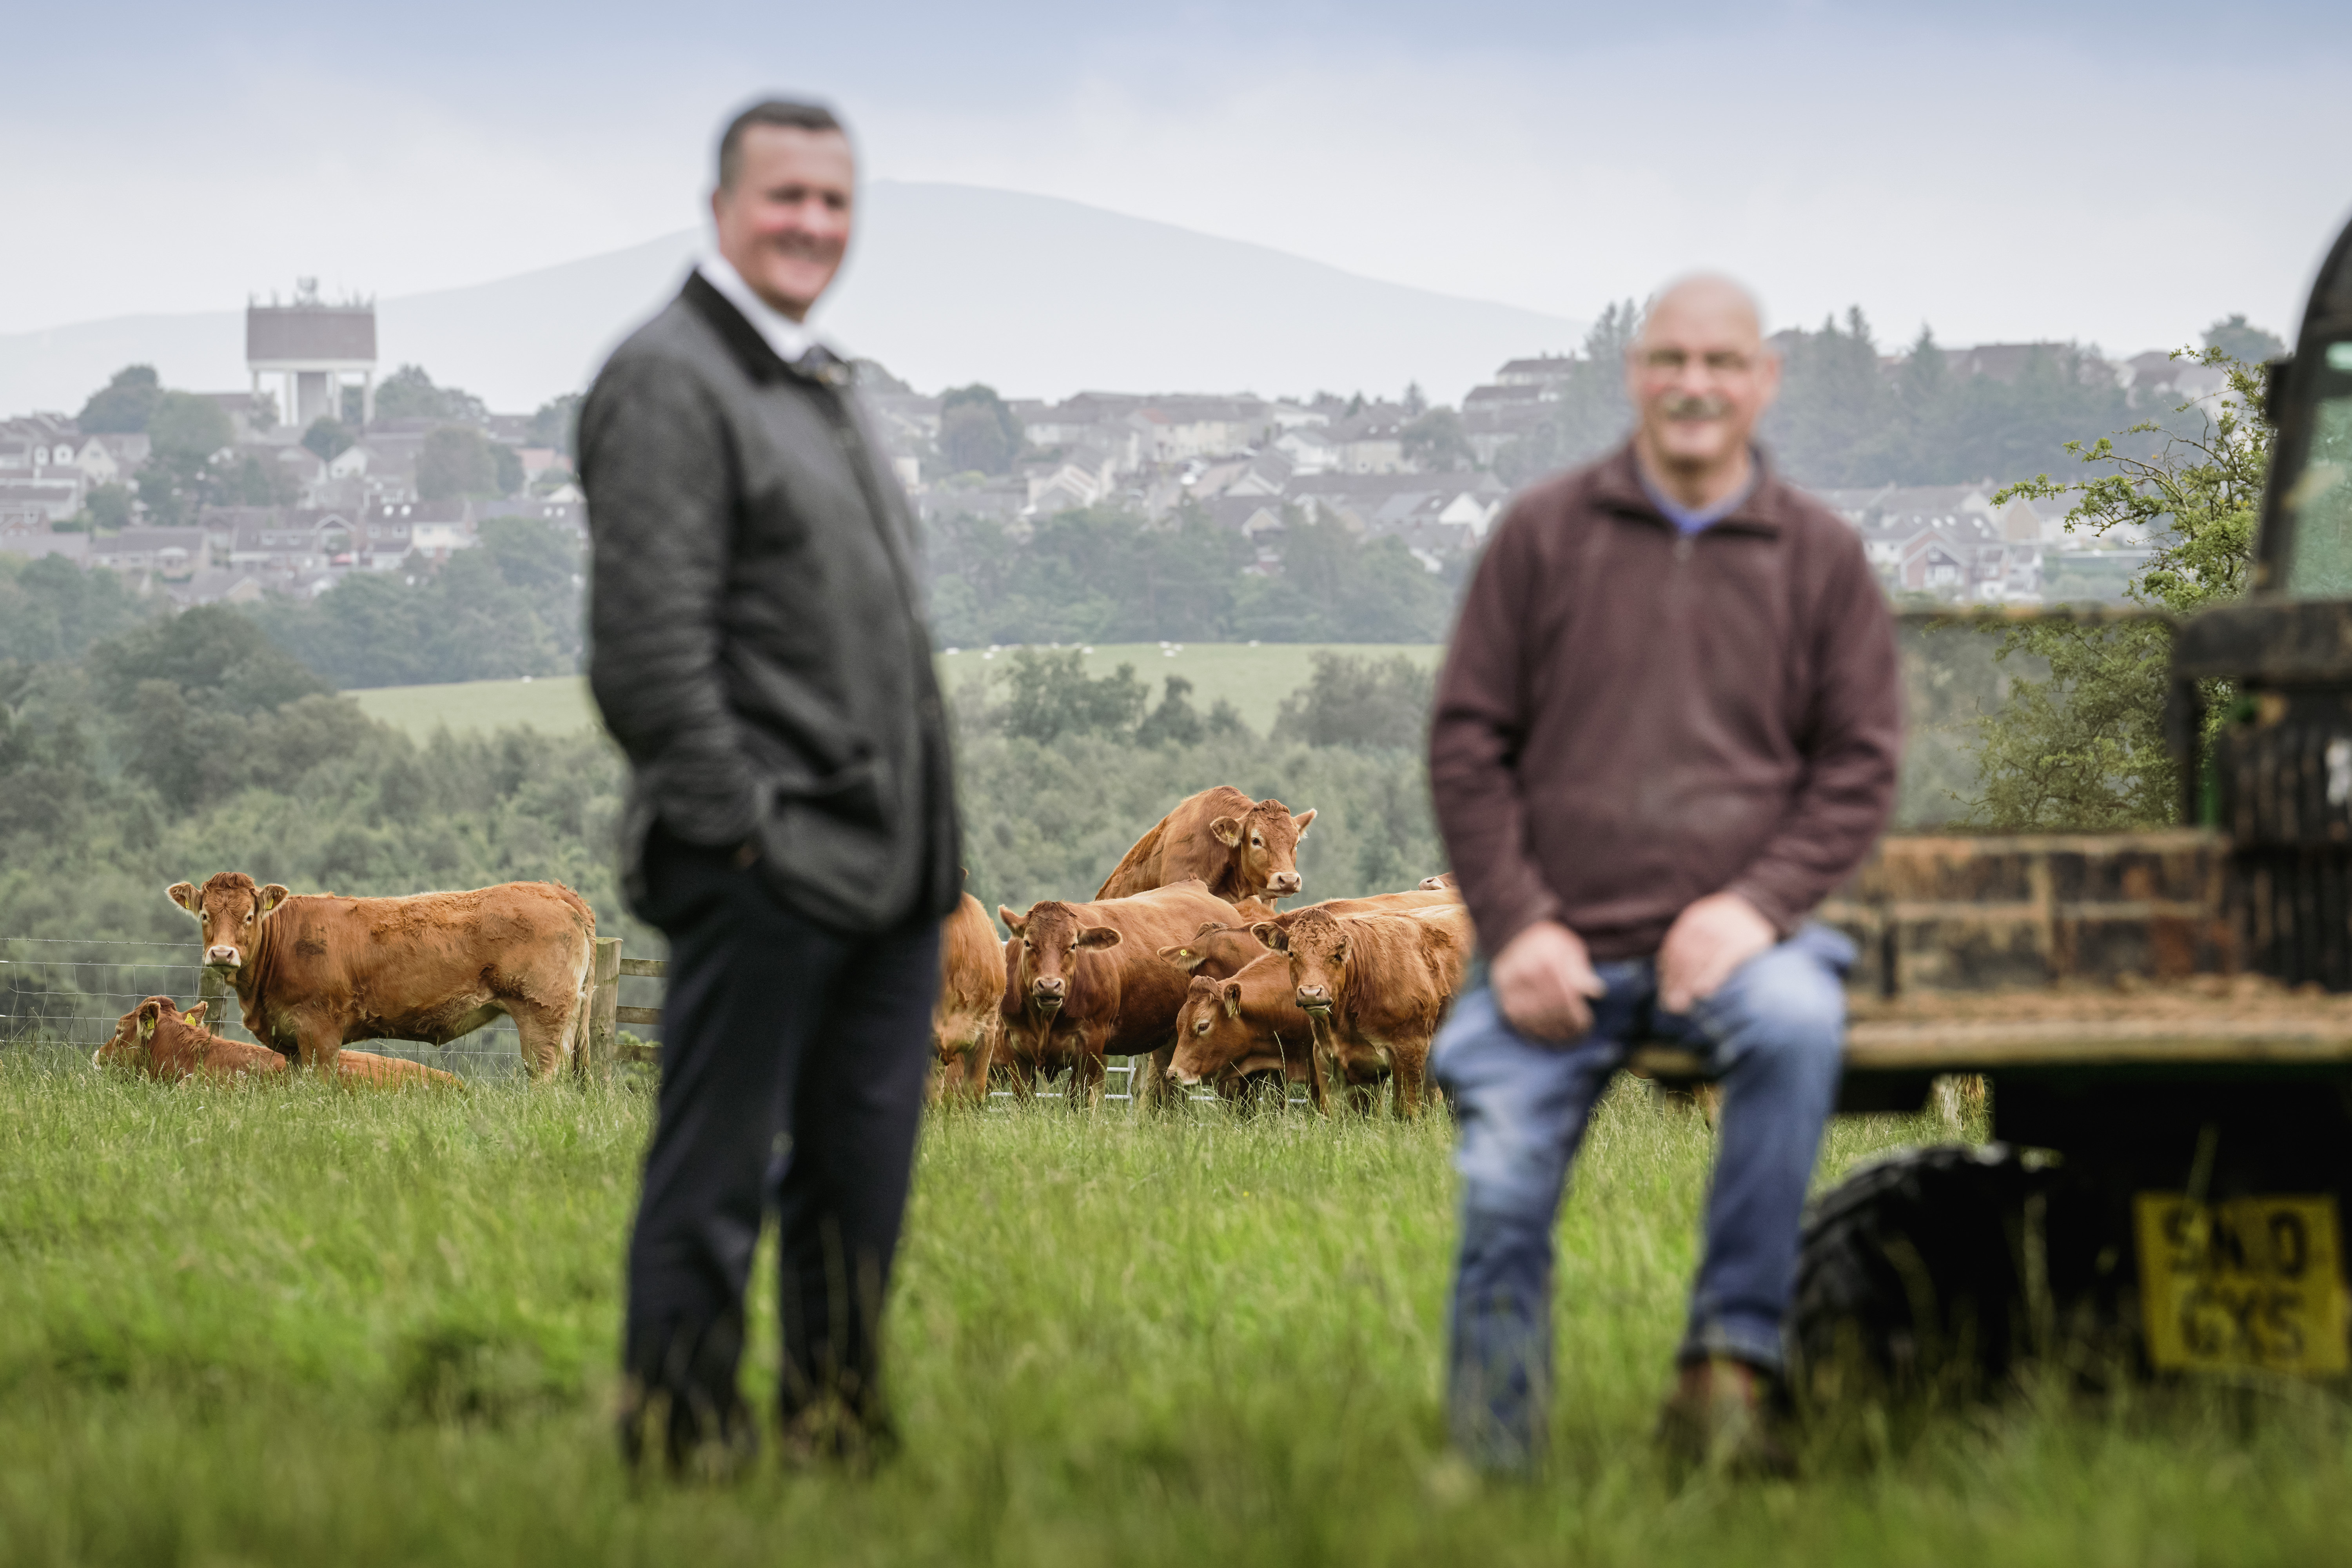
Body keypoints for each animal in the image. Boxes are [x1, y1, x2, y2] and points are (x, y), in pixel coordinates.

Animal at [165, 872, 596, 1081]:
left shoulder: (320, 1030)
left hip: (542, 1013)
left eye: (250, 916)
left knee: (545, 1076)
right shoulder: (292, 1041)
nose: (223, 953)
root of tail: (551, 890)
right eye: (205, 915)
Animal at [998, 879, 1243, 1108]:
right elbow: (1024, 1102)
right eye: (1028, 943)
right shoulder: (1013, 1044)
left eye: (1074, 945)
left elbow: (1076, 1099)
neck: (1045, 1021)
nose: (1050, 986)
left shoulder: (1091, 1044)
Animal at [1252, 905, 1471, 1119]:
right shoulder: (1328, 1057)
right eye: (1291, 954)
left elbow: (1406, 1112)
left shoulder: (1410, 1050)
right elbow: (1332, 1114)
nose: (1311, 993)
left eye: (1337, 955)